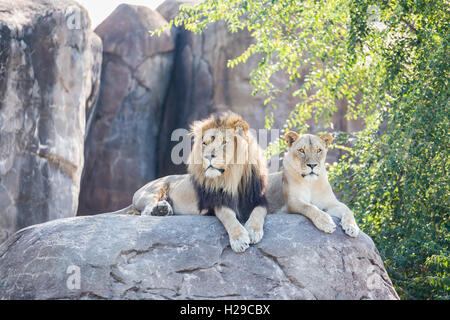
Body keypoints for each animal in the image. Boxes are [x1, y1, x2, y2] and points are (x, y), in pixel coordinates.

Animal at [117, 112, 270, 252]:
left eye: (224, 142)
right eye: (205, 144)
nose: (207, 156)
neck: (232, 179)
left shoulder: (259, 199)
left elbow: (258, 212)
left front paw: (253, 231)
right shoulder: (217, 202)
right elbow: (229, 217)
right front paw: (239, 239)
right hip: (154, 190)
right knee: (145, 211)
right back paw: (160, 210)